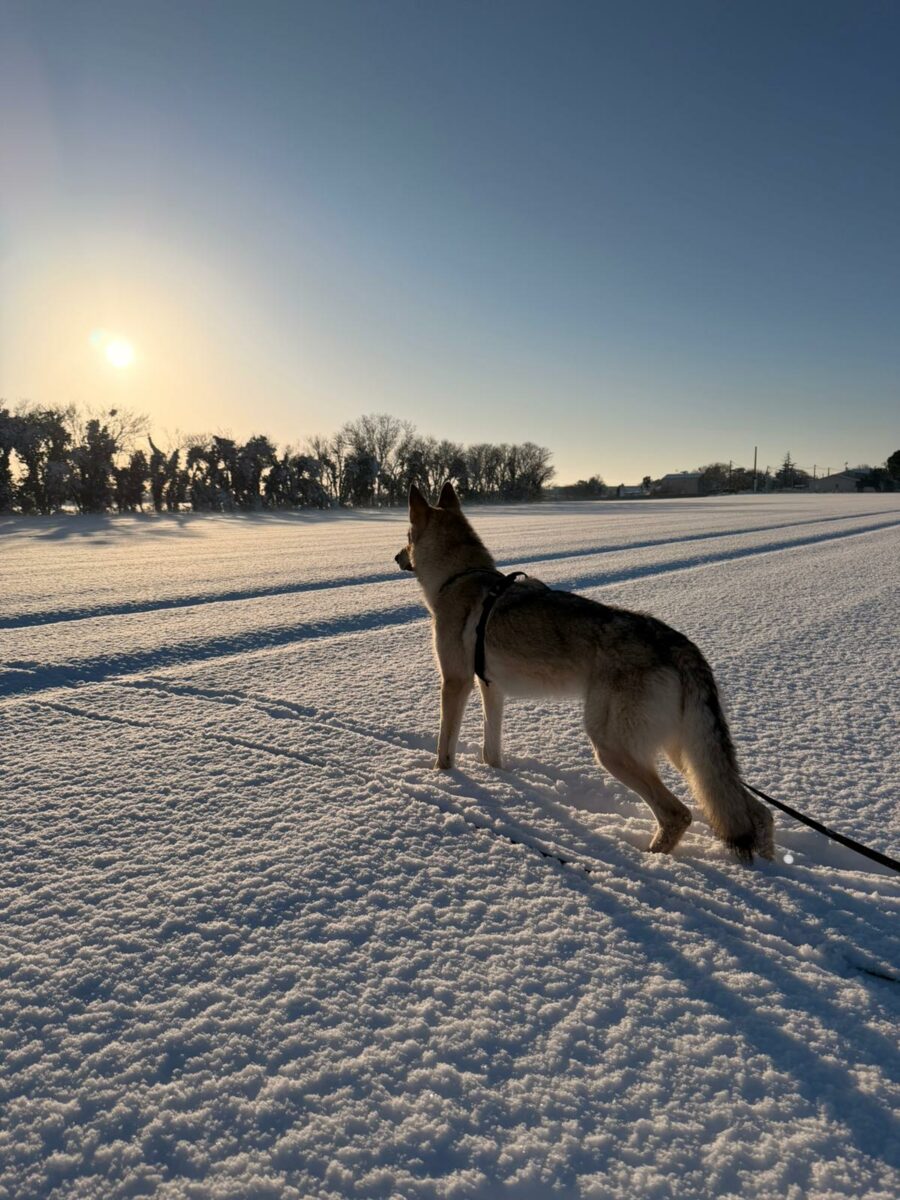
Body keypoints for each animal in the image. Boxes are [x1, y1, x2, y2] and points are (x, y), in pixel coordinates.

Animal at [394, 481, 774, 863]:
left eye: (406, 537)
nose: (396, 558)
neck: (459, 577)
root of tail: (681, 644)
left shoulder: (455, 683)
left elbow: (445, 748)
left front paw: (441, 779)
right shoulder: (492, 687)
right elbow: (492, 750)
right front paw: (500, 778)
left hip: (612, 748)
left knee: (678, 814)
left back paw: (644, 859)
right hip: (684, 755)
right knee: (757, 811)